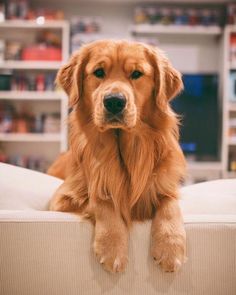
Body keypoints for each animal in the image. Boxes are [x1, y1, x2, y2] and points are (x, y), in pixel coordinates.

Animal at [48, 40, 187, 276]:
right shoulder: (60, 200)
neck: (122, 150)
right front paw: (112, 246)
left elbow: (170, 204)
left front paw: (171, 246)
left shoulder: (165, 186)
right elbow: (101, 198)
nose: (114, 101)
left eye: (137, 73)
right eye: (98, 72)